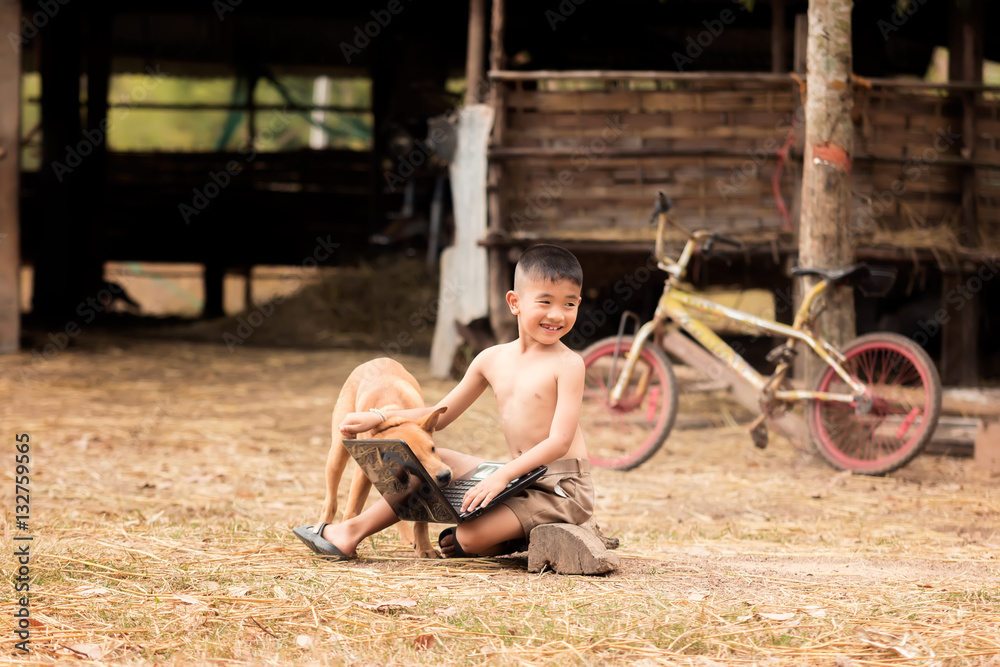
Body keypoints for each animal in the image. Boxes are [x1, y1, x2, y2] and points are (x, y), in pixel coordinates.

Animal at [318, 360, 452, 560]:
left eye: (433, 449)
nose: (445, 476)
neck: (393, 416)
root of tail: (376, 360)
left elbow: (421, 519)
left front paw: (425, 548)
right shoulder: (363, 473)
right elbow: (352, 509)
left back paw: (408, 538)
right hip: (337, 454)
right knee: (330, 501)